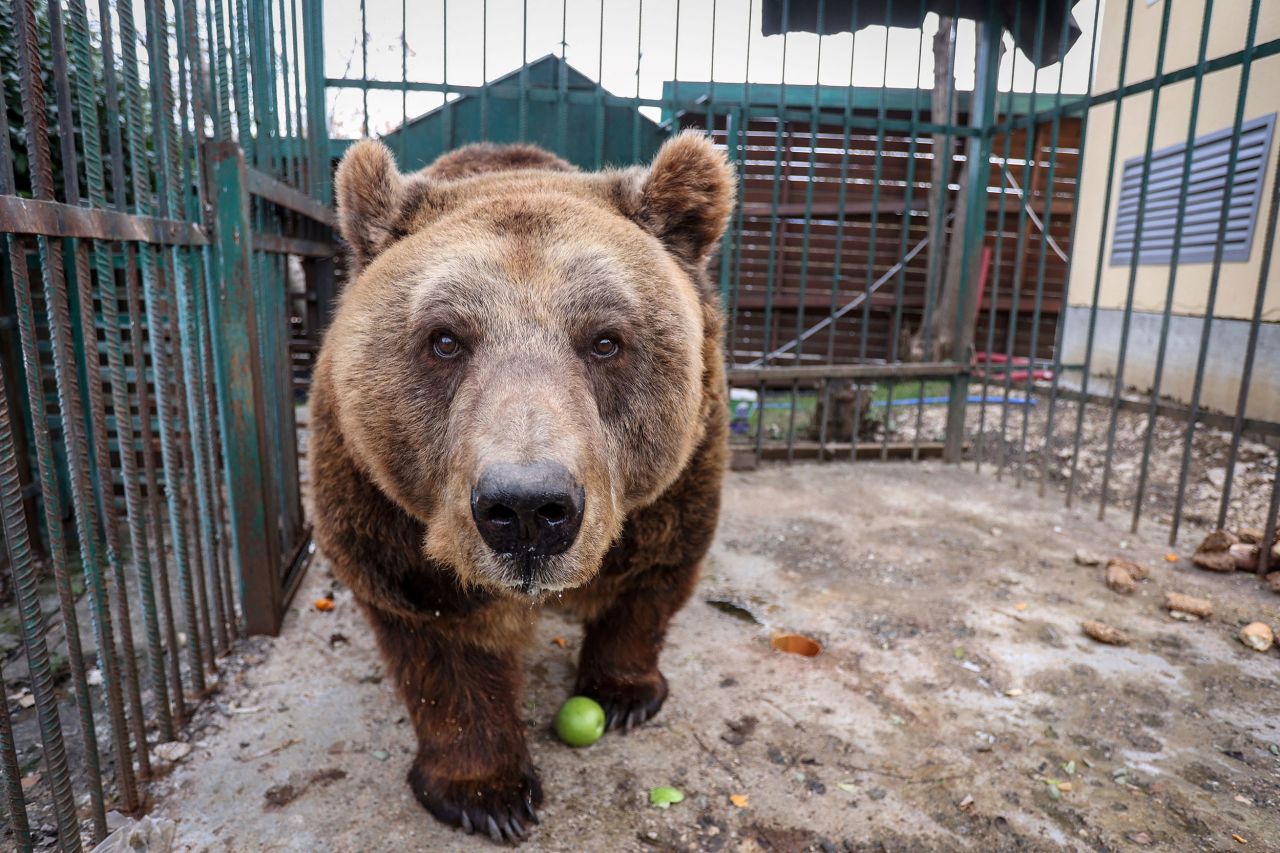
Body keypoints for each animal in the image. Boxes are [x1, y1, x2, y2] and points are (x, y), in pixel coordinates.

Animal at [304, 131, 737, 835]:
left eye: (607, 340)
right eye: (444, 339)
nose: (529, 509)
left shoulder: (681, 473)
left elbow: (655, 572)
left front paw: (624, 693)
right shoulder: (385, 509)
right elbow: (436, 632)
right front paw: (487, 792)